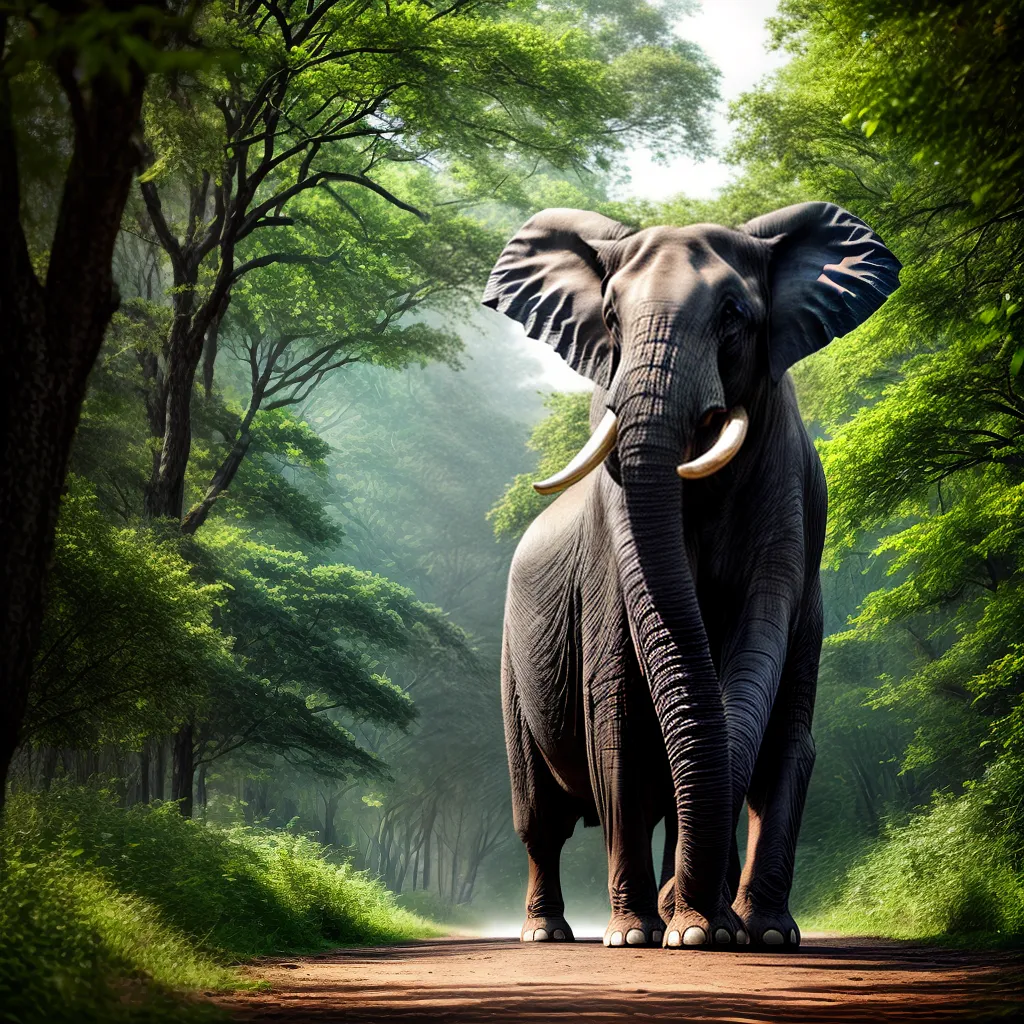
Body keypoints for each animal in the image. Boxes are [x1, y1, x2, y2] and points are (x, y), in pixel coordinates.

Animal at [482, 203, 900, 950]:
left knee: (784, 747)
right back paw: (548, 934)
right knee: (540, 817)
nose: (690, 903)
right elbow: (616, 726)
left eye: (734, 315)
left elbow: (752, 675)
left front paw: (723, 933)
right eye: (609, 318)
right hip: (510, 667)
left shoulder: (792, 496)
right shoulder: (611, 536)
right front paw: (643, 936)